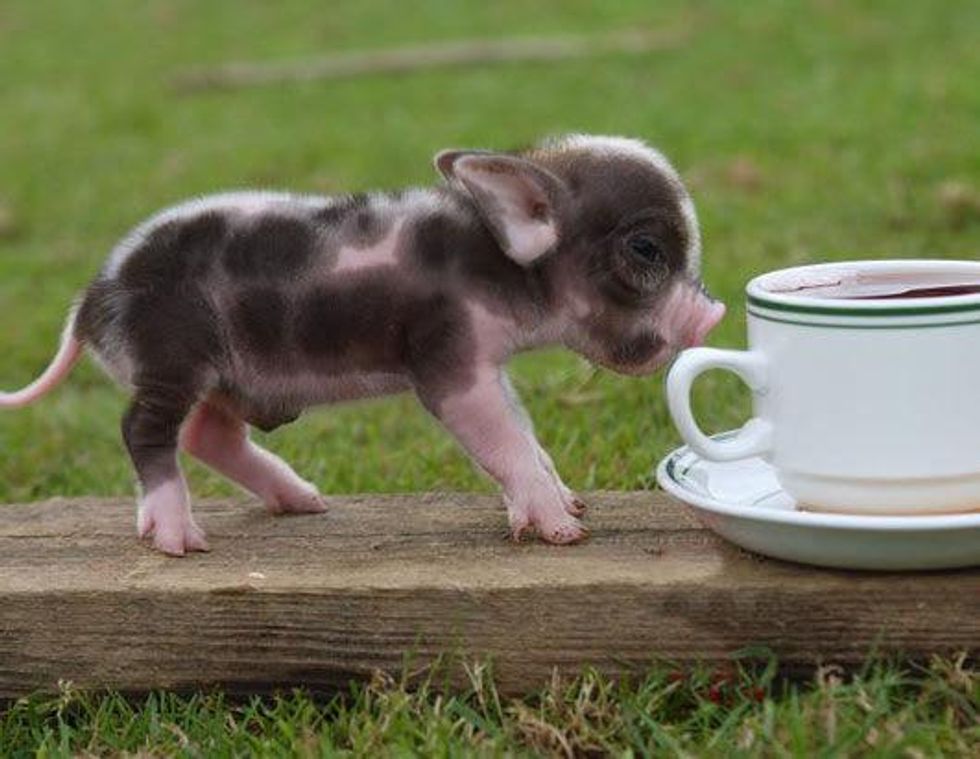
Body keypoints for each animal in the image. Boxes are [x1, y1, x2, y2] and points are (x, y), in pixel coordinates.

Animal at [0, 134, 725, 555]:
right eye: (645, 249)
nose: (713, 314)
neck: (492, 261)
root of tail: (92, 299)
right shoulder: (447, 359)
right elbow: (502, 440)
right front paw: (565, 530)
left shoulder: (487, 362)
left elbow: (523, 431)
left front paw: (566, 501)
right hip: (170, 359)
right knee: (143, 429)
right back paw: (180, 541)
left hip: (230, 375)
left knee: (208, 434)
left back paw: (305, 501)